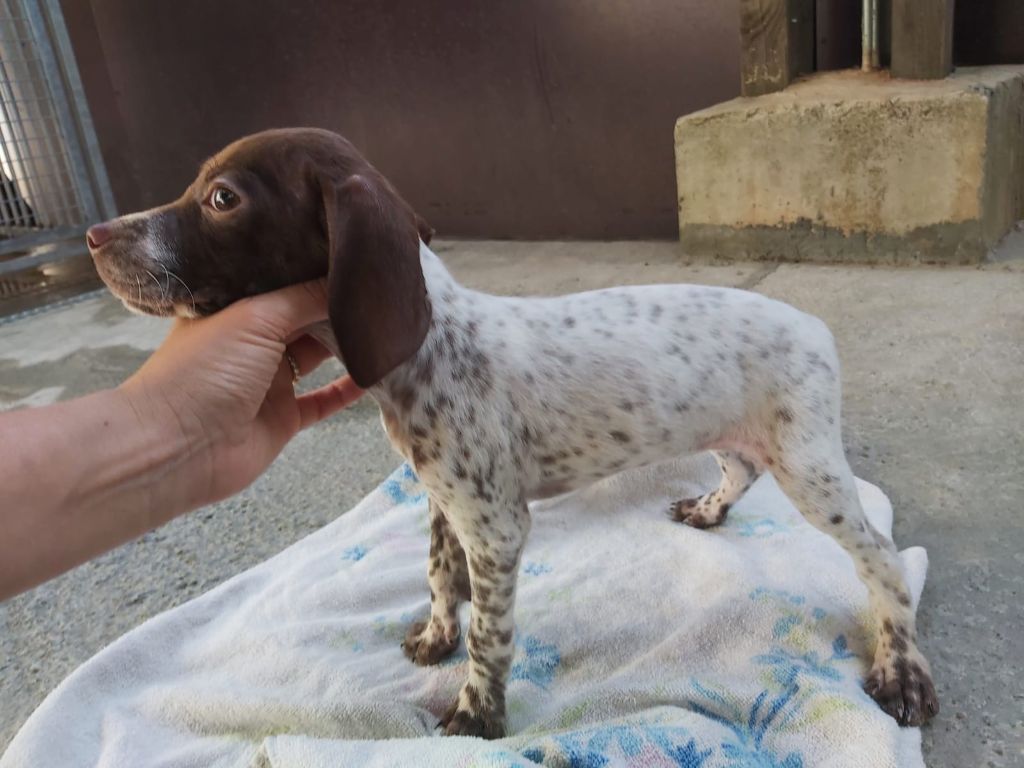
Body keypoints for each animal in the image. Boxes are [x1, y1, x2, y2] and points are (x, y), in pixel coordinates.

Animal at [87, 128, 938, 737]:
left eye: (222, 197)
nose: (95, 236)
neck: (431, 342)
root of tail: (814, 324)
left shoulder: (494, 525)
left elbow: (491, 634)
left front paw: (476, 712)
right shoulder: (442, 499)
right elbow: (440, 577)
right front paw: (437, 637)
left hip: (810, 464)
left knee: (885, 562)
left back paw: (901, 668)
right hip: (737, 430)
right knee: (739, 469)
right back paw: (707, 510)